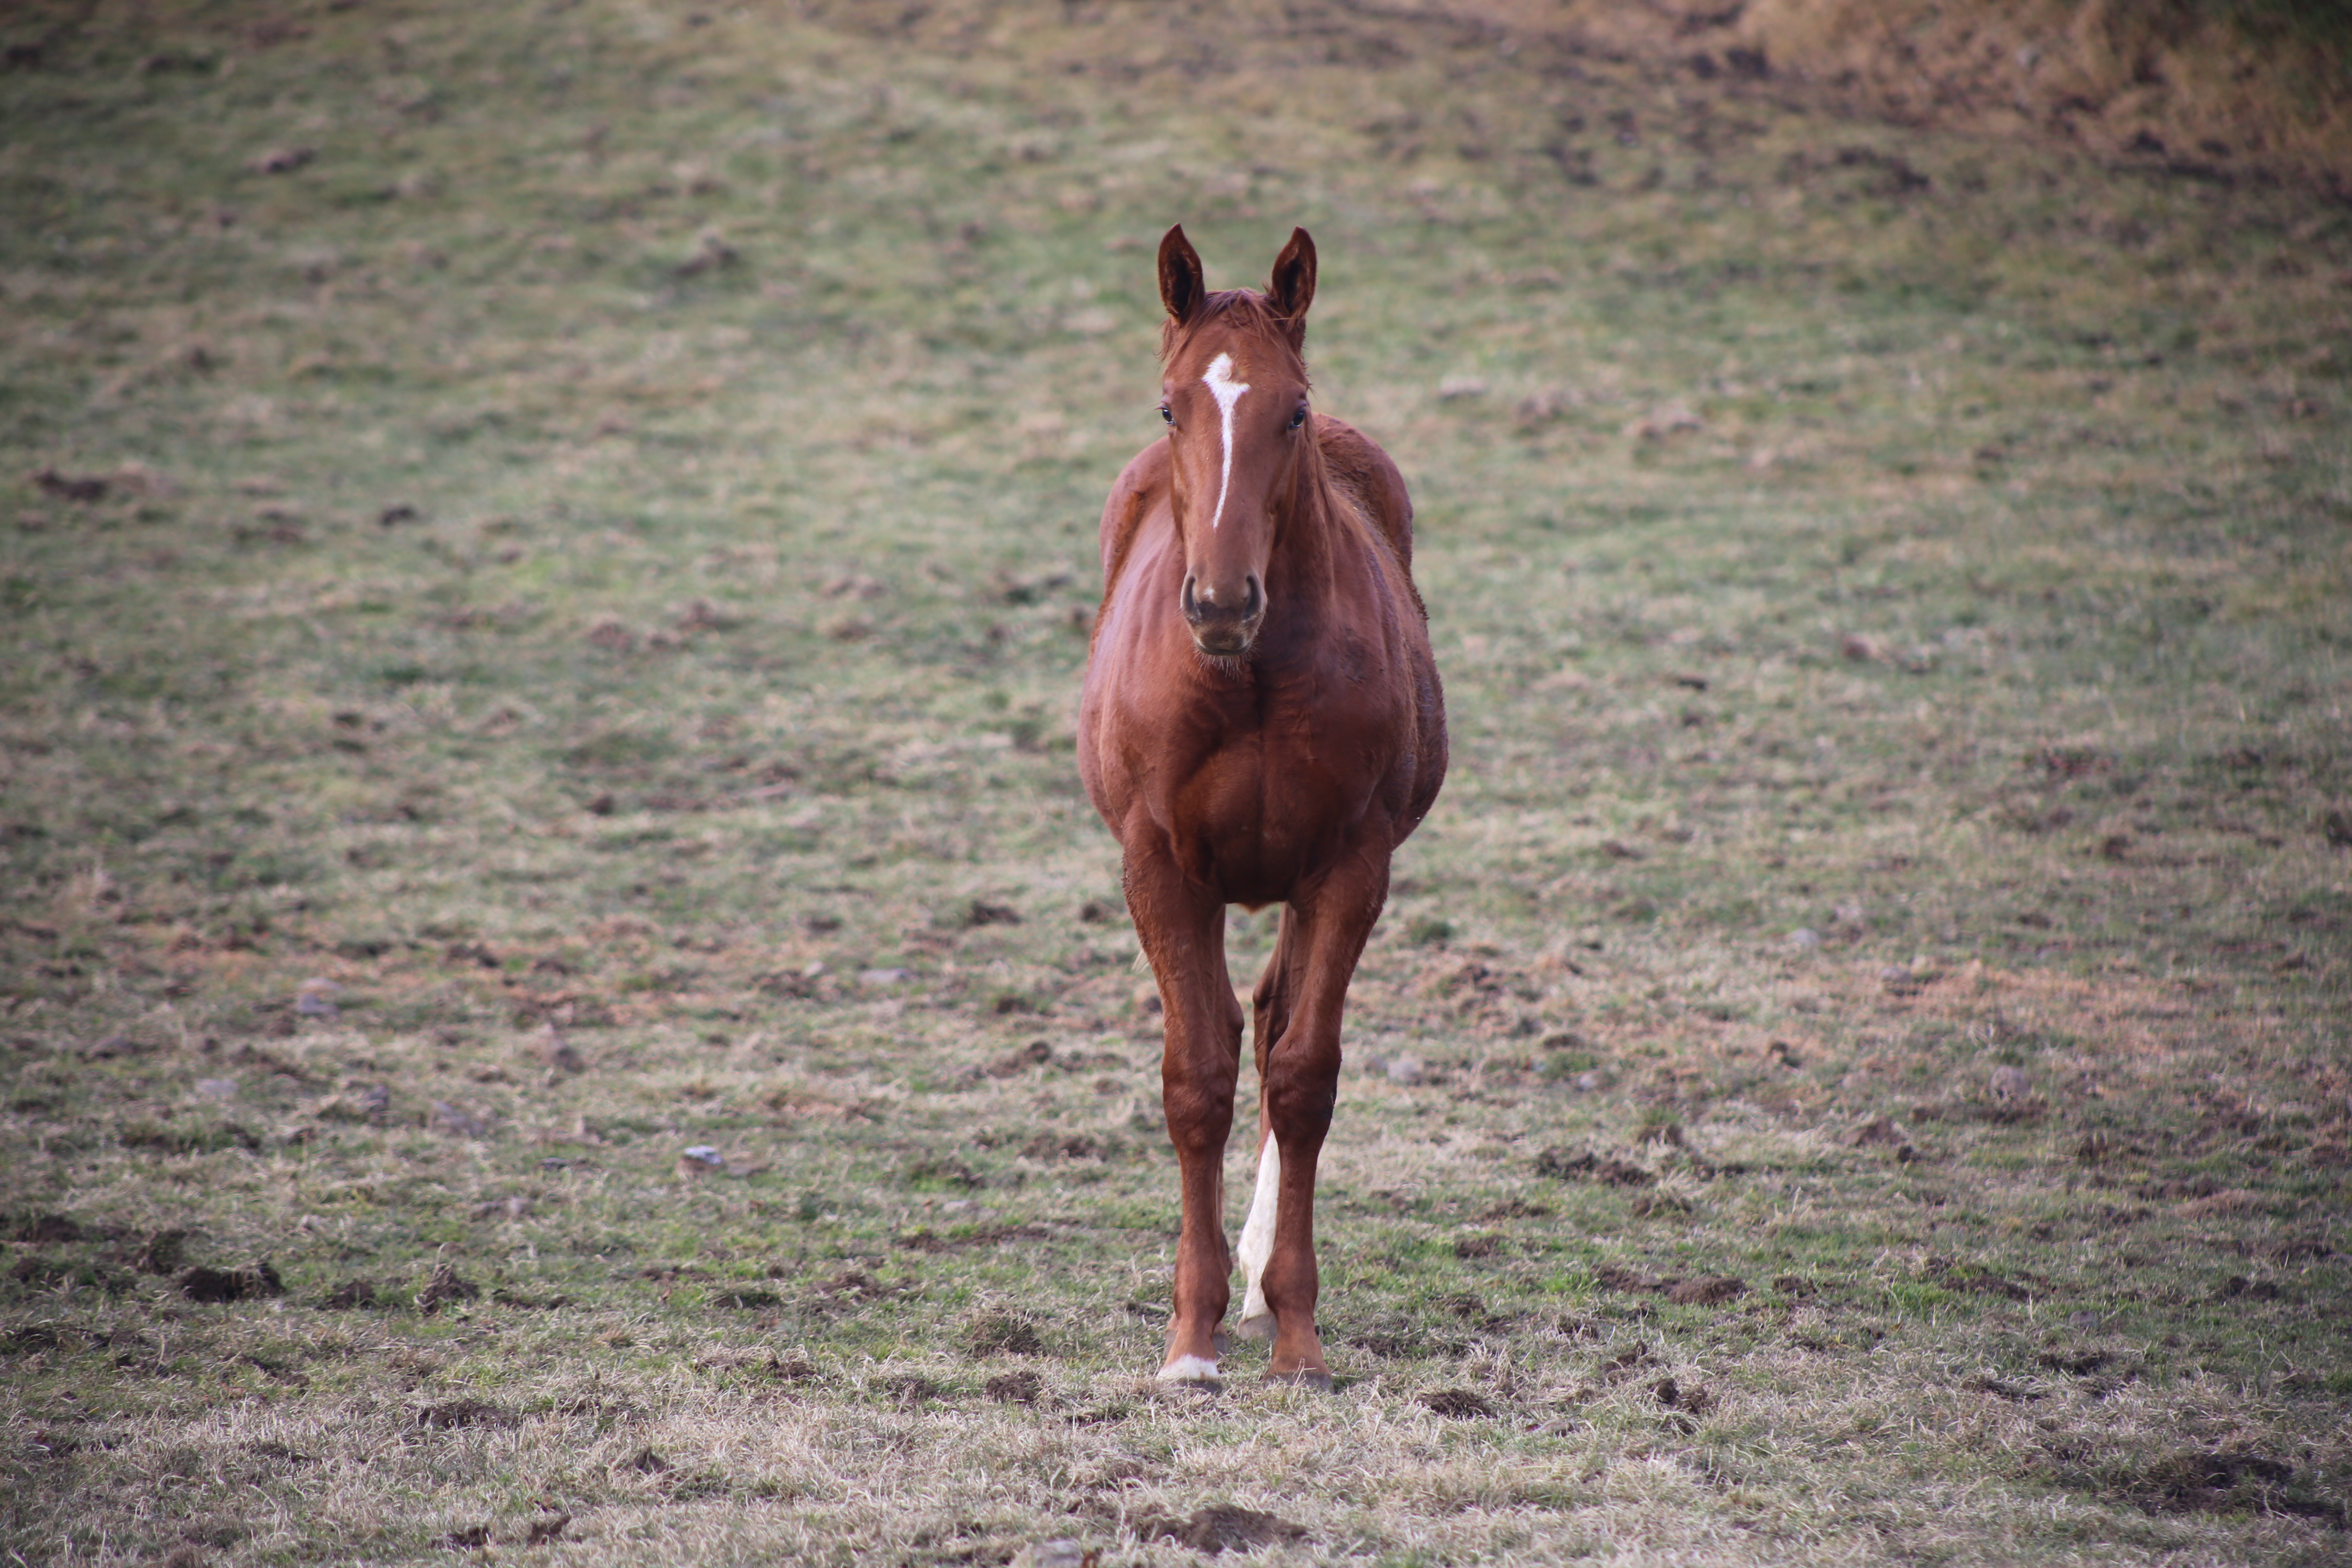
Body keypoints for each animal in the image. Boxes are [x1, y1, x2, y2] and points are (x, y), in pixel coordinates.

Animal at [1077, 227, 1439, 1392]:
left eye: (1292, 409)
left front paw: (1295, 1335)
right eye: (1168, 407)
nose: (1221, 603)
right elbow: (1197, 1079)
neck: (1250, 677)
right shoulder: (1155, 865)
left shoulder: (1348, 866)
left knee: (1281, 1024)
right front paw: (1188, 1345)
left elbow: (1302, 1076)